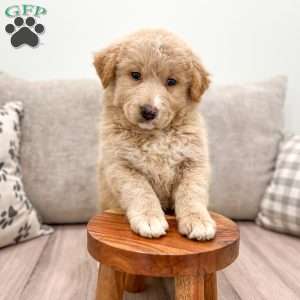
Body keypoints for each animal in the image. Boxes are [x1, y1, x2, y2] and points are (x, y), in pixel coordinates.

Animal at [94, 29, 216, 240]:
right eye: (135, 75)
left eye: (171, 82)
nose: (148, 111)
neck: (154, 136)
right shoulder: (121, 166)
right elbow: (141, 192)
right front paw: (149, 219)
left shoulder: (193, 163)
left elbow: (191, 193)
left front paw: (198, 220)